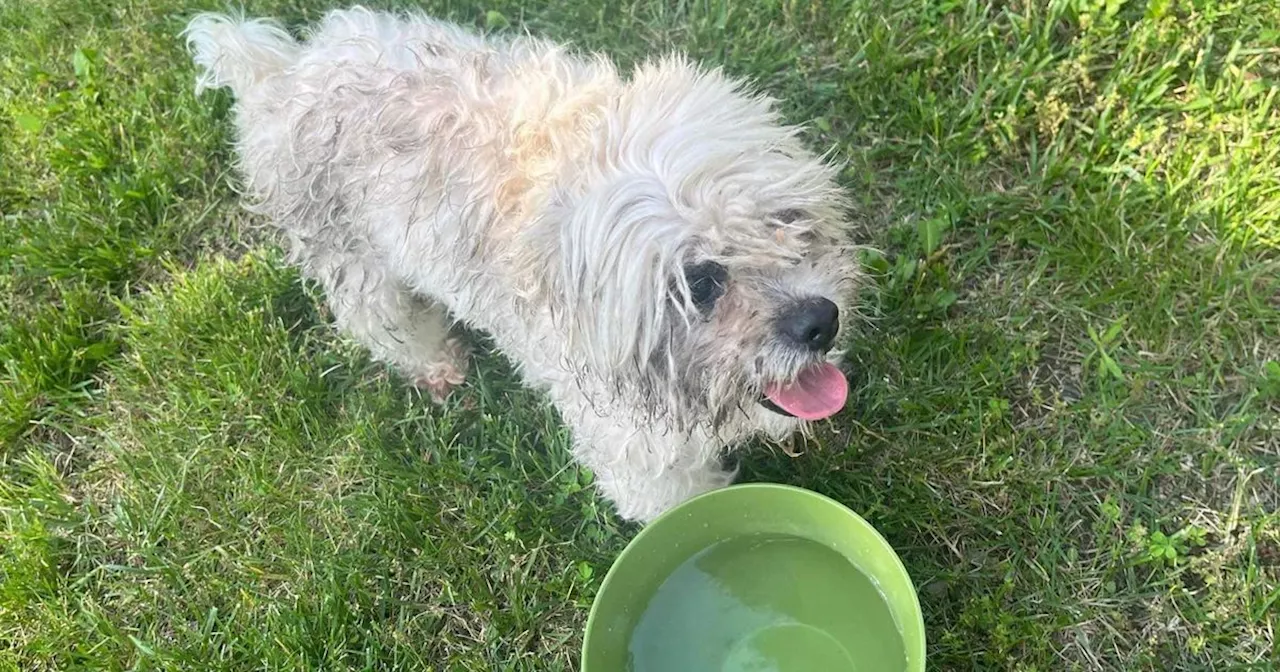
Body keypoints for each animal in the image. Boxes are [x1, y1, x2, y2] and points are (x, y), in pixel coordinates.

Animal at [183, 6, 860, 524]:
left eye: (790, 219)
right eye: (699, 283)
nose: (819, 321)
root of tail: (283, 72)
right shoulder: (632, 444)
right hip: (357, 266)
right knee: (383, 323)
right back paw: (436, 366)